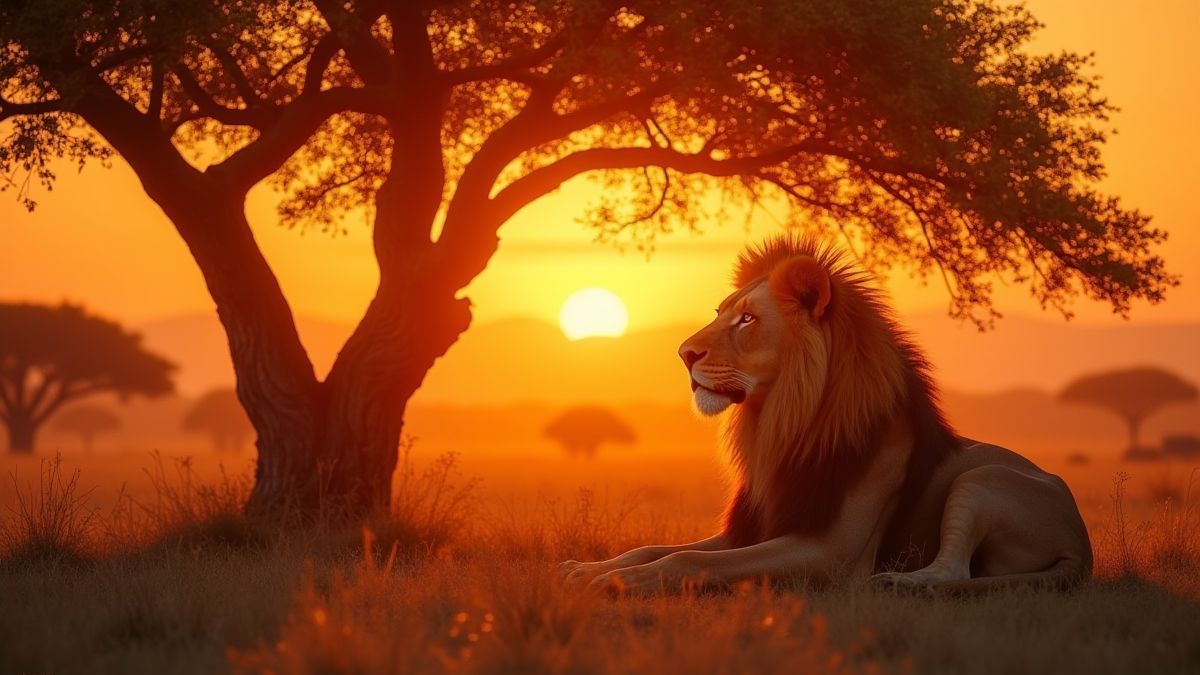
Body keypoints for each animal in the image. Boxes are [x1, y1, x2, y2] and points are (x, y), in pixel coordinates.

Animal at [560, 235, 1092, 595]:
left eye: (747, 319)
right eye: (720, 312)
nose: (683, 354)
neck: (776, 427)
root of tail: (1081, 544)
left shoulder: (829, 552)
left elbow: (684, 563)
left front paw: (619, 583)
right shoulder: (751, 528)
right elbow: (654, 548)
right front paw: (586, 568)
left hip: (982, 479)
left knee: (953, 572)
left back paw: (898, 583)